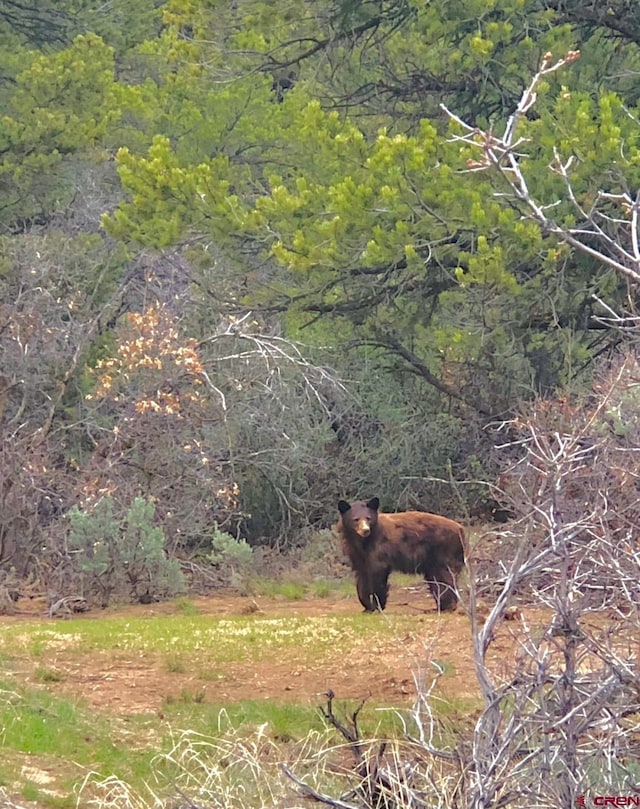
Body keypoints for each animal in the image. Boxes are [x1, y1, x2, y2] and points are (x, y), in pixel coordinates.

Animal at [336, 492, 464, 612]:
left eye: (368, 518)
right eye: (356, 519)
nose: (365, 530)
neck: (362, 542)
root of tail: (461, 529)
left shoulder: (379, 546)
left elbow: (378, 571)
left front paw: (377, 606)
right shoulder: (356, 553)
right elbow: (362, 576)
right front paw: (367, 606)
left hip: (445, 551)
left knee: (445, 577)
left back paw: (447, 606)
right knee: (436, 579)